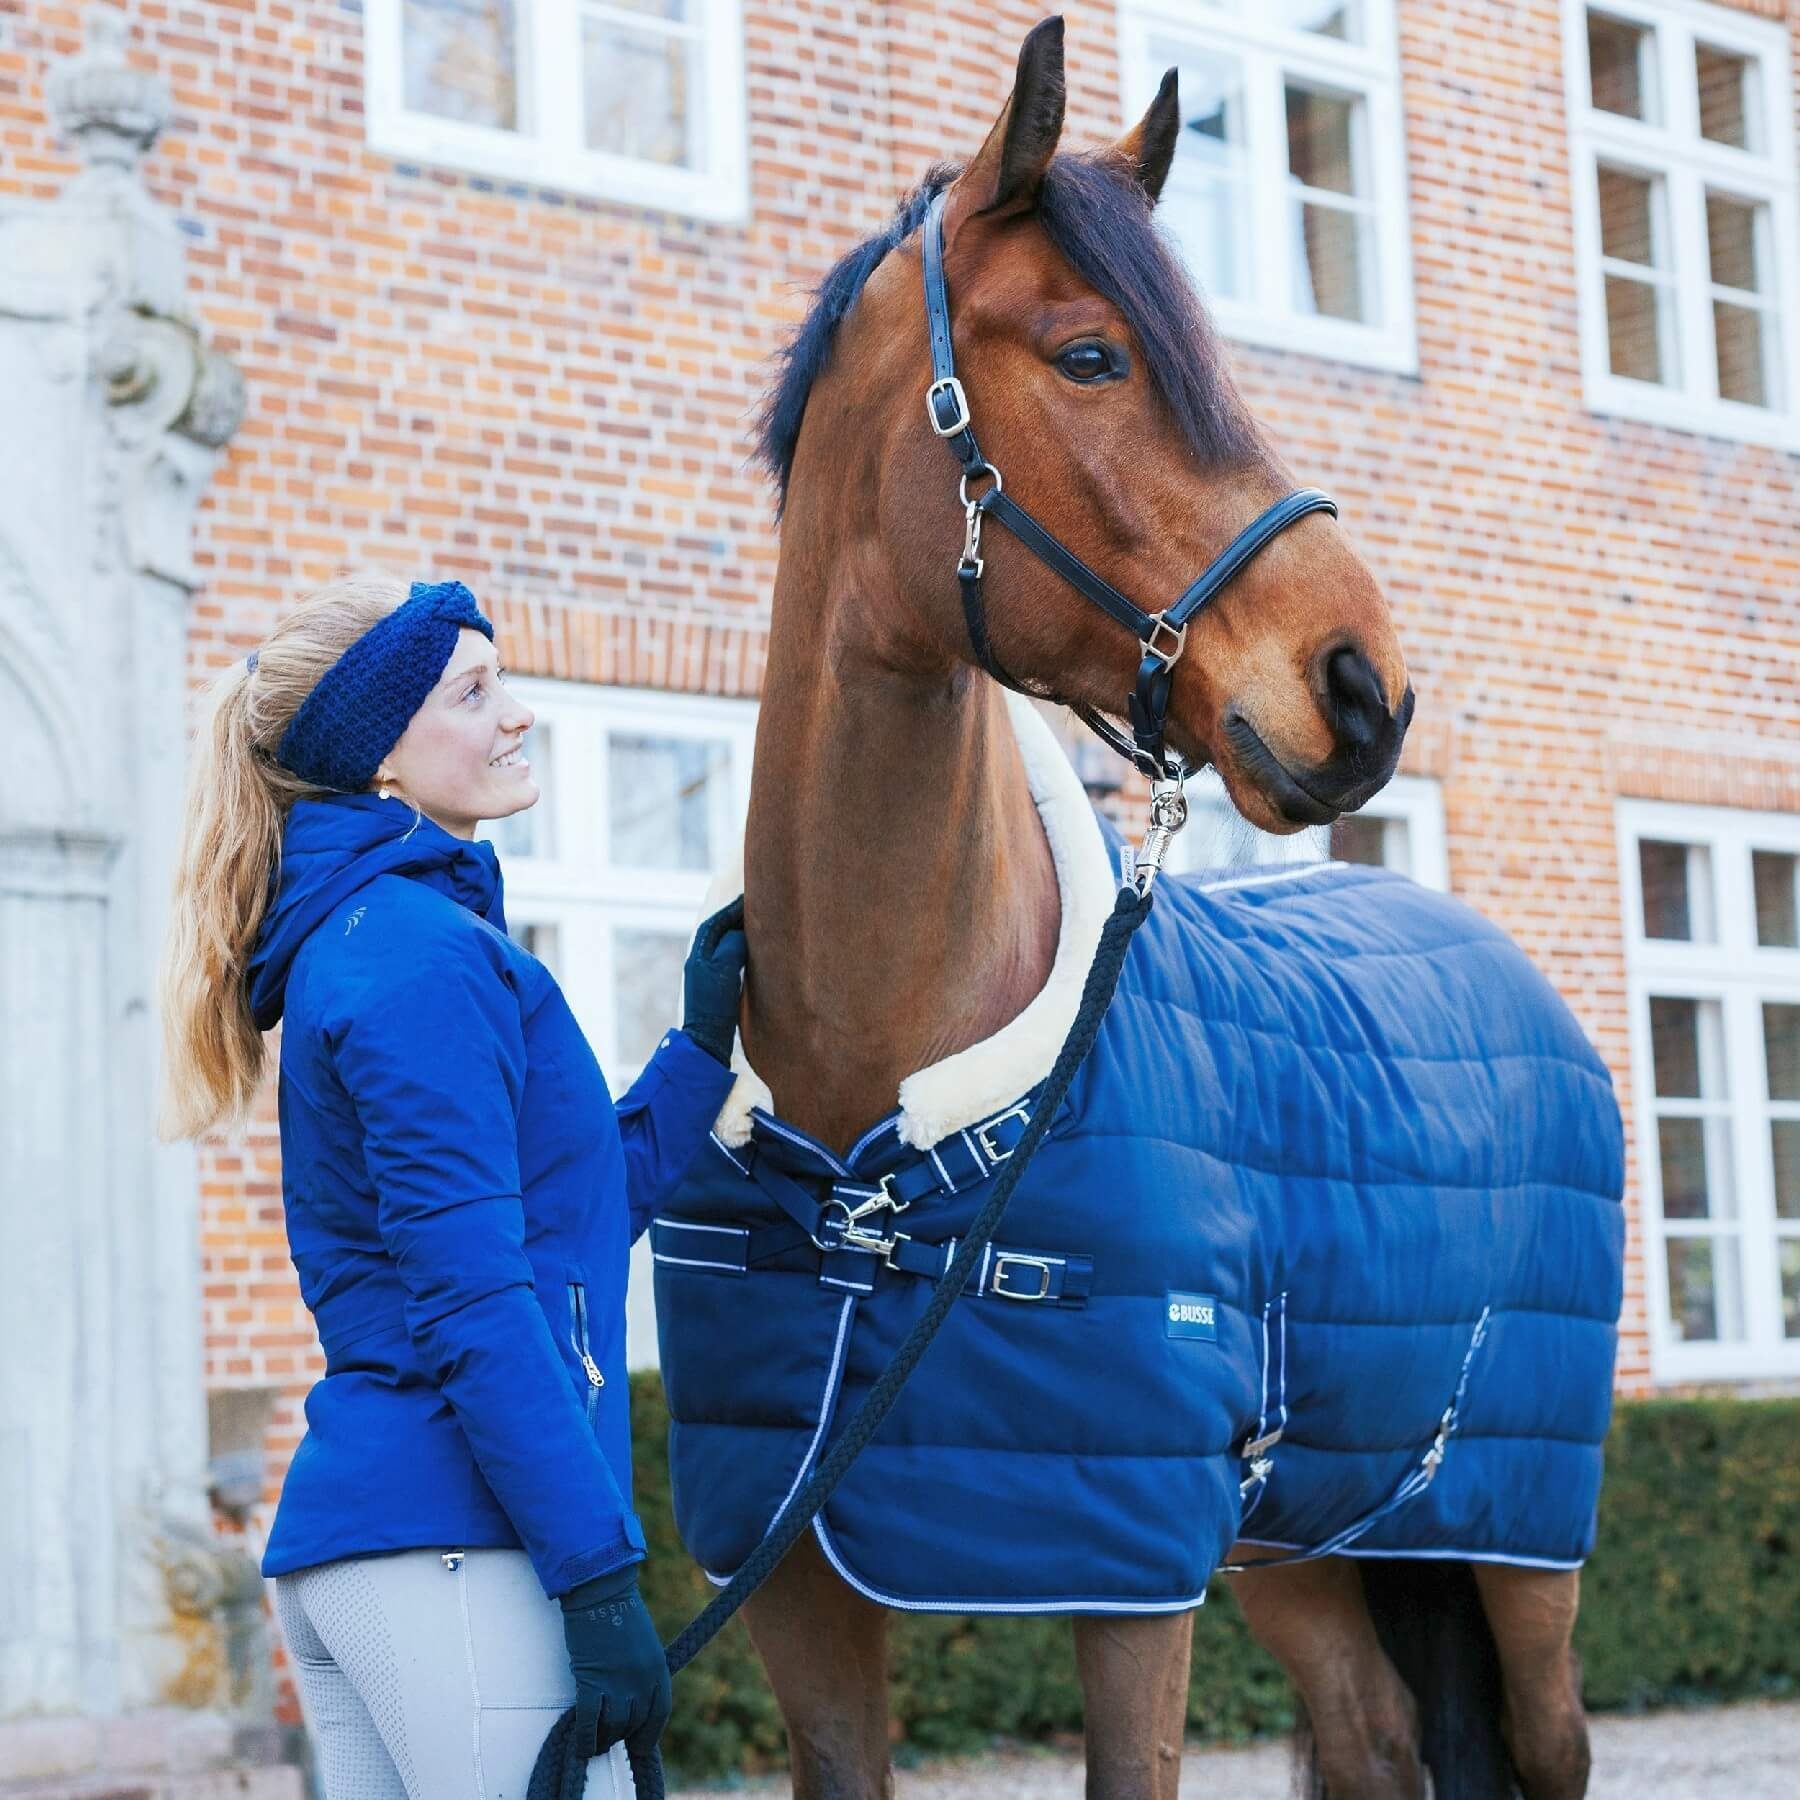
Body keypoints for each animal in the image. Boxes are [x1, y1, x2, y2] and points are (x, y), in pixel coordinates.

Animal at [651, 19, 1620, 1798]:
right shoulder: (799, 1588)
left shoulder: (1130, 1583)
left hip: (1518, 1546)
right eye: (1093, 355)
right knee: (1373, 1737)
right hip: (1301, 1539)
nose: (1365, 689)